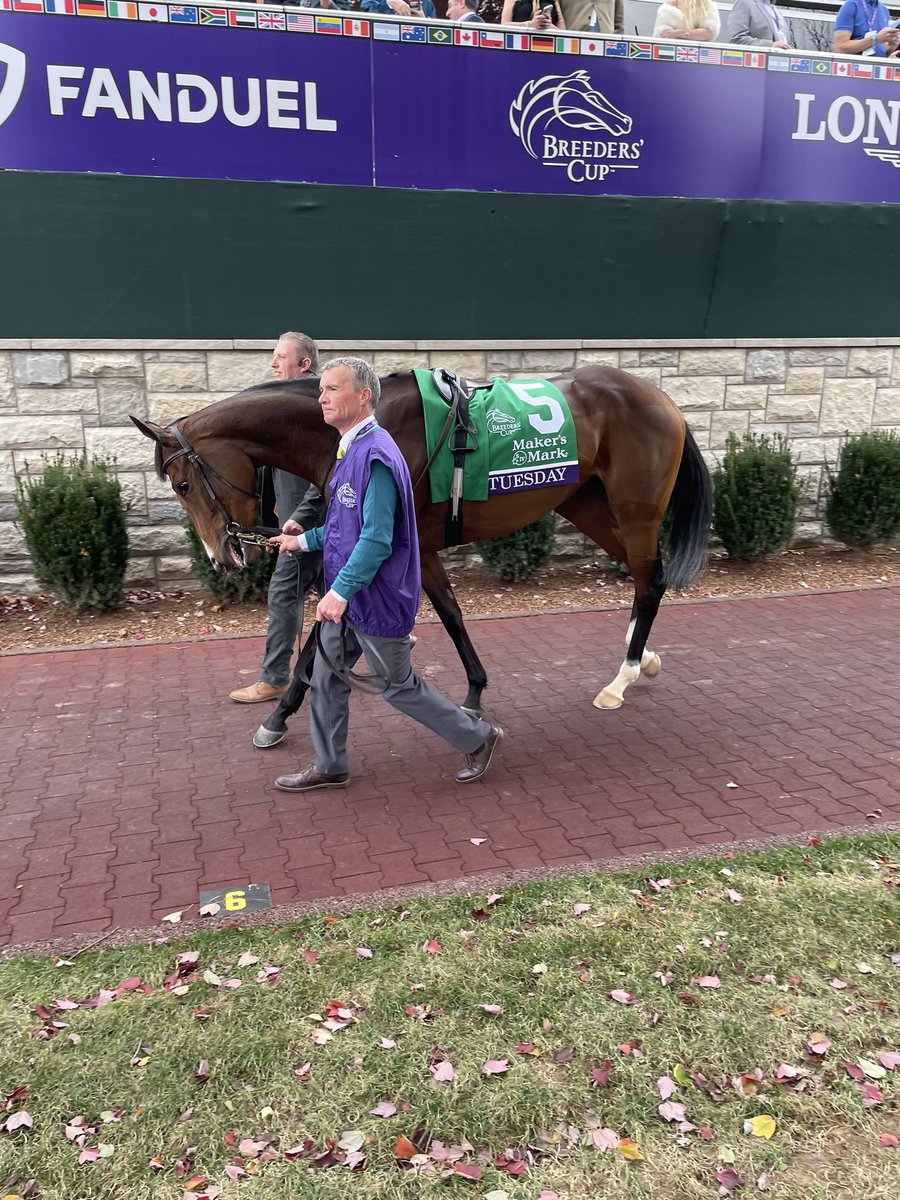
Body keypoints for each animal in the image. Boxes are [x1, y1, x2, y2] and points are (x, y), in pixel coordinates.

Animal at [131, 365, 712, 747]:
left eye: (182, 484)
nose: (223, 556)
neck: (361, 429)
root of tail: (661, 399)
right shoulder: (421, 551)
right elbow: (452, 616)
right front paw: (474, 691)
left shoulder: (382, 546)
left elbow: (319, 638)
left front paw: (278, 716)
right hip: (584, 503)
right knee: (646, 577)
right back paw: (641, 655)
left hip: (635, 510)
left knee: (649, 579)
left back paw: (622, 677)